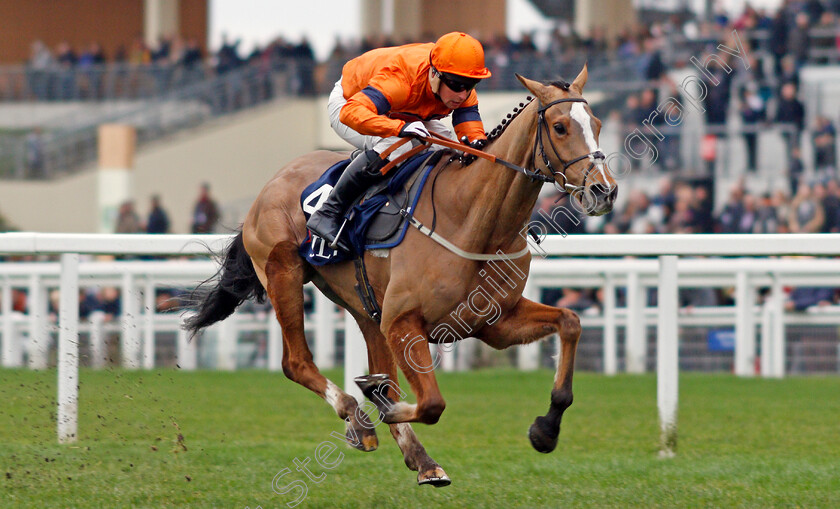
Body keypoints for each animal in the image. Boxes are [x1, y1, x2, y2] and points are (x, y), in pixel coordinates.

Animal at [187, 67, 620, 484]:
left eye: (598, 123)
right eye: (560, 127)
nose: (604, 191)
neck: (471, 219)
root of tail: (273, 182)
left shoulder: (493, 323)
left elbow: (571, 322)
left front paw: (546, 429)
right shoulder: (404, 321)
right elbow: (431, 403)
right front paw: (378, 405)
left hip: (365, 307)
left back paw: (421, 458)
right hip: (284, 274)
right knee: (296, 362)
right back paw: (358, 418)